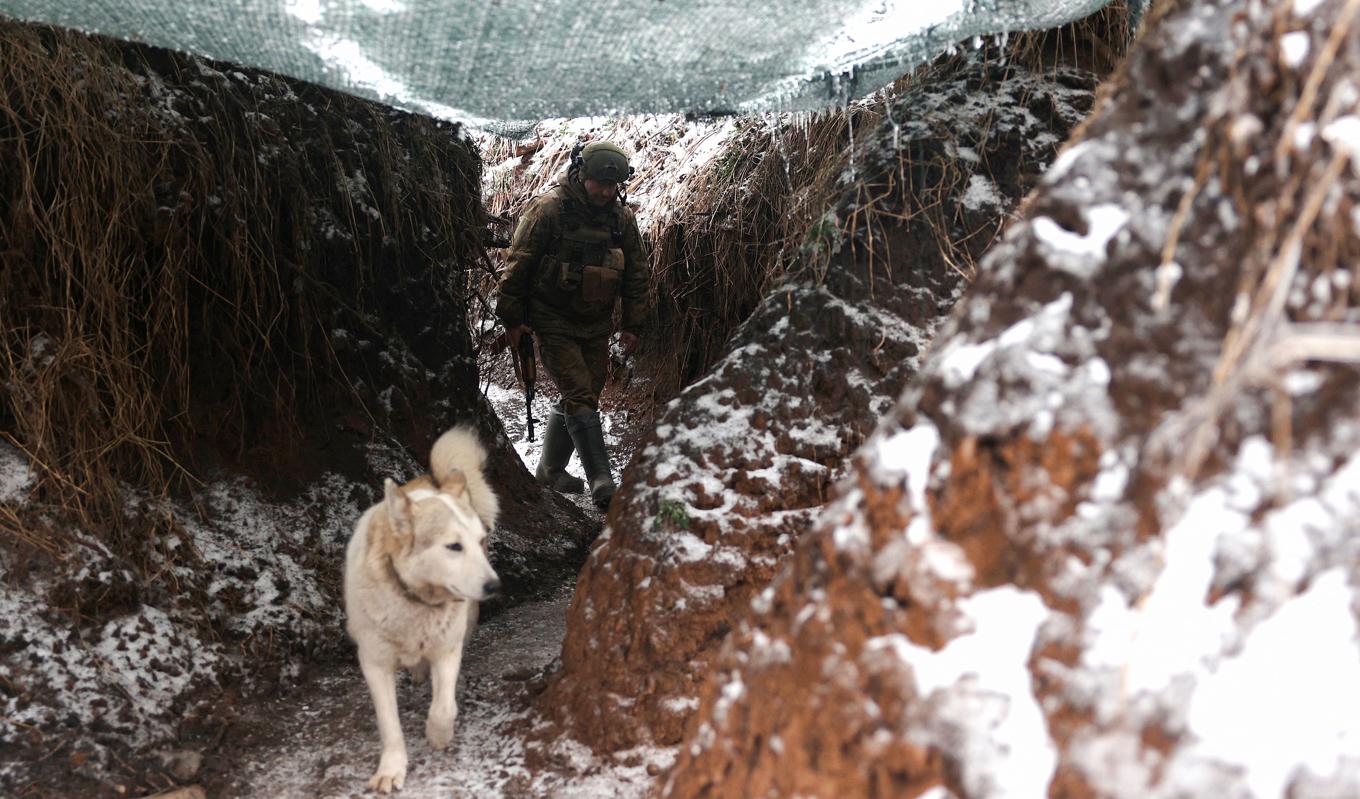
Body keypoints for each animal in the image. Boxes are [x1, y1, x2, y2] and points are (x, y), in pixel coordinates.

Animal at [342, 426, 503, 788]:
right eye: (454, 546)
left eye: (478, 541)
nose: (494, 586)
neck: (414, 602)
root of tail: (435, 479)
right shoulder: (374, 664)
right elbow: (389, 725)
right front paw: (391, 769)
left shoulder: (447, 649)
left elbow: (444, 707)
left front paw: (438, 735)